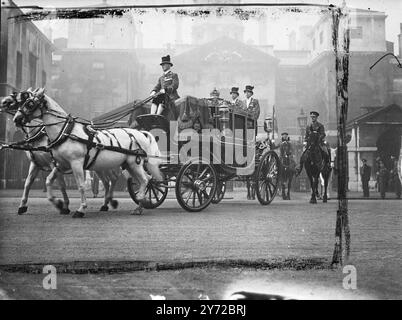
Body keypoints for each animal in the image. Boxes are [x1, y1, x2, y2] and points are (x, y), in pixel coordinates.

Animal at [12, 88, 163, 218]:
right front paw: (58, 203)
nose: (16, 119)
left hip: (134, 163)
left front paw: (80, 209)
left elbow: (80, 185)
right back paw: (138, 205)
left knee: (144, 180)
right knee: (143, 180)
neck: (66, 133)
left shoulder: (76, 163)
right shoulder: (60, 164)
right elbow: (48, 181)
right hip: (126, 165)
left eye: (30, 103)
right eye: (23, 101)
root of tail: (141, 133)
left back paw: (138, 204)